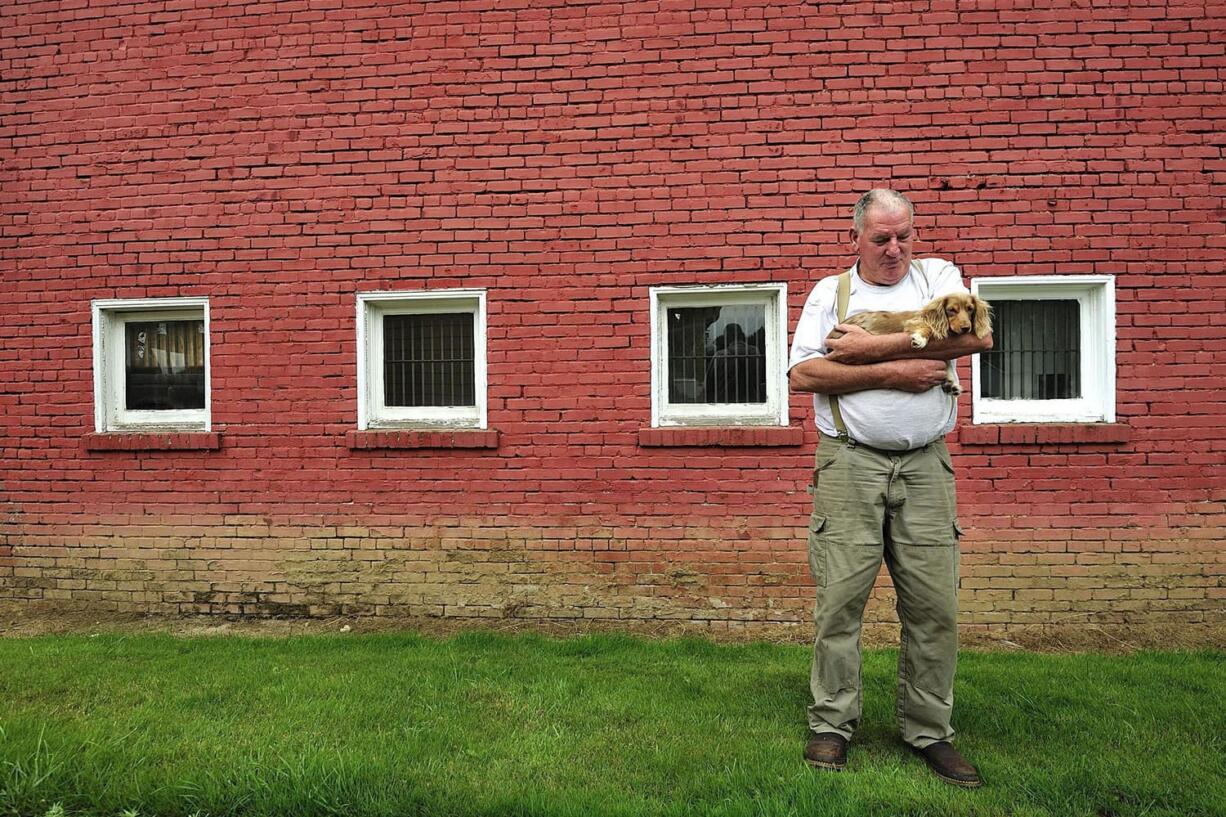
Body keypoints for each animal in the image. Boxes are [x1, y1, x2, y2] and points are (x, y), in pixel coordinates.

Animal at [828, 290, 990, 395]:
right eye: (951, 310)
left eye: (970, 309)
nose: (966, 328)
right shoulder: (913, 323)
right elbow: (927, 328)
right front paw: (920, 338)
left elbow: (947, 363)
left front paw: (950, 383)